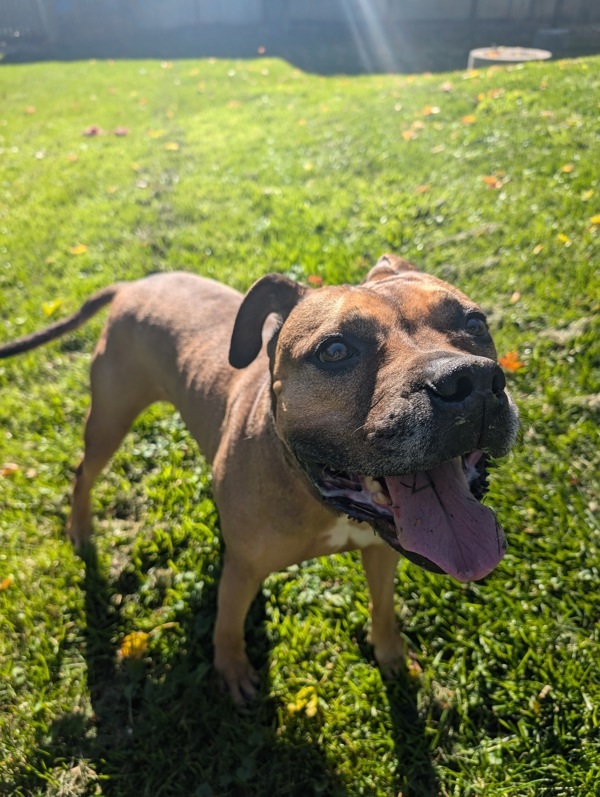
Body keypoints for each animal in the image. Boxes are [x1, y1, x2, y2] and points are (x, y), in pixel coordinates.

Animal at [0, 255, 516, 696]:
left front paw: (391, 657)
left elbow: (384, 608)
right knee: (84, 472)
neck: (318, 496)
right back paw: (80, 529)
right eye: (335, 350)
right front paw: (233, 672)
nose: (470, 380)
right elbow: (227, 623)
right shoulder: (243, 569)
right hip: (109, 418)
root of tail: (133, 284)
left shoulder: (381, 553)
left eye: (475, 323)